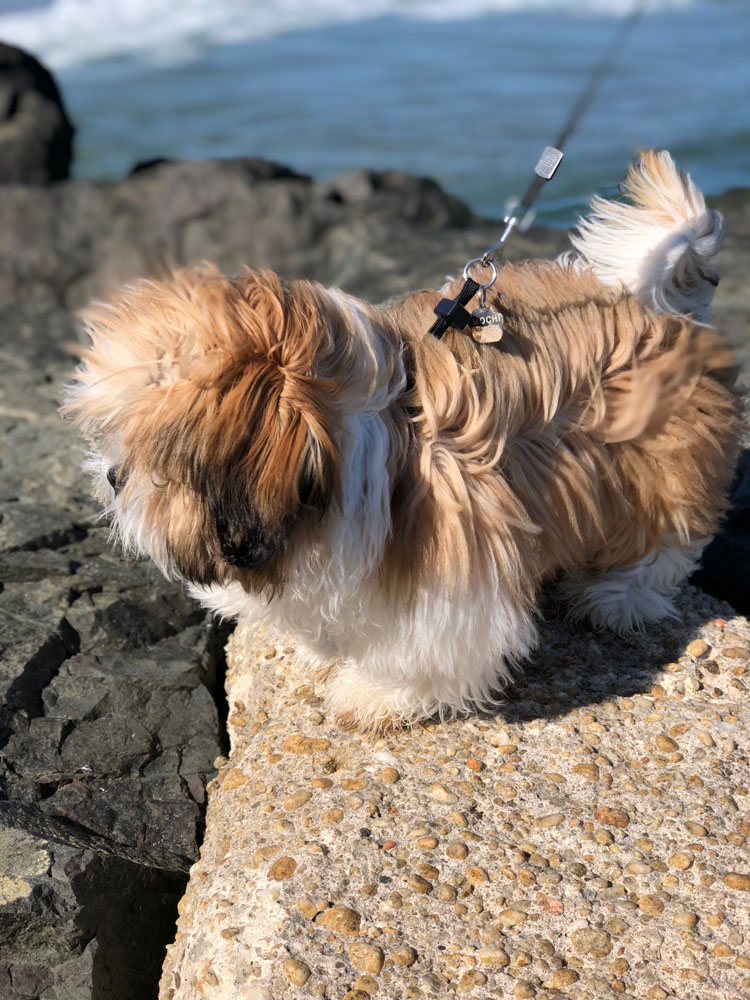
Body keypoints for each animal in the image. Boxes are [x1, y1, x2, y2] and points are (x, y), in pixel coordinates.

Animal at [64, 150, 740, 728]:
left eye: (158, 460)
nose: (113, 476)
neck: (340, 441)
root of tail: (655, 307)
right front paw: (325, 650)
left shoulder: (453, 548)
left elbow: (433, 644)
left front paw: (377, 693)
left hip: (661, 463)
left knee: (667, 542)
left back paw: (615, 596)